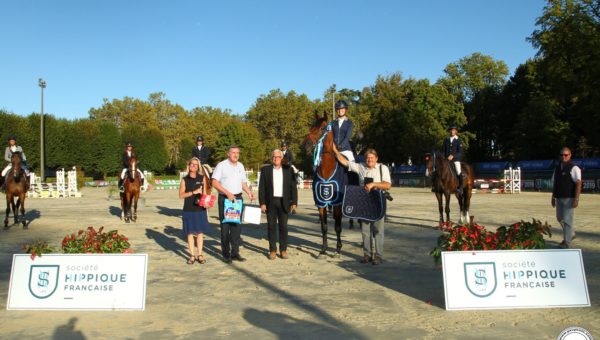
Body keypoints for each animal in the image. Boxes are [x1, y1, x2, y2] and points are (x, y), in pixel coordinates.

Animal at [304, 111, 342, 258]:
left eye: (322, 128)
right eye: (311, 127)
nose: (306, 145)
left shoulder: (337, 203)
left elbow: (337, 226)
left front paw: (337, 249)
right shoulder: (320, 203)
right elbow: (324, 226)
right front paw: (323, 249)